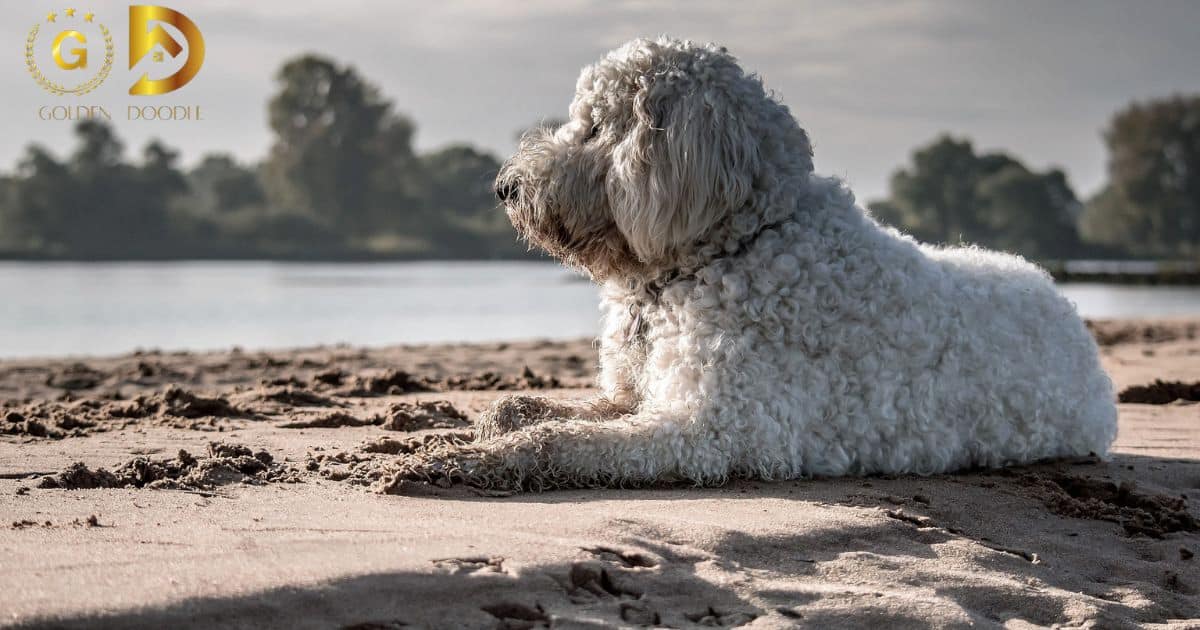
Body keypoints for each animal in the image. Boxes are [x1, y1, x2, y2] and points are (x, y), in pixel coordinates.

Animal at [388, 38, 1118, 492]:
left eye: (596, 127)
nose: (505, 187)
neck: (727, 246)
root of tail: (1062, 301)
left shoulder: (713, 430)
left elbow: (561, 442)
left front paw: (468, 458)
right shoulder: (639, 396)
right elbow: (551, 410)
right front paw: (498, 415)